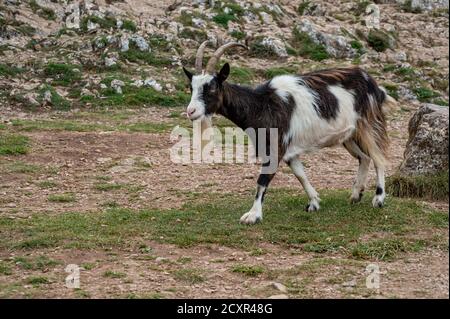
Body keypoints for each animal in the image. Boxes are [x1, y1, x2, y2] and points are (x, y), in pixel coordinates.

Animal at [181, 41, 396, 225]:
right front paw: (314, 202)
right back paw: (355, 195)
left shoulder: (276, 147)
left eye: (211, 87)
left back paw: (378, 198)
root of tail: (373, 83)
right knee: (364, 158)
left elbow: (262, 180)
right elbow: (301, 175)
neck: (261, 105)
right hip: (348, 135)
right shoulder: (289, 152)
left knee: (378, 157)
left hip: (368, 124)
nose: (191, 111)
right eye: (192, 87)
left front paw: (253, 215)